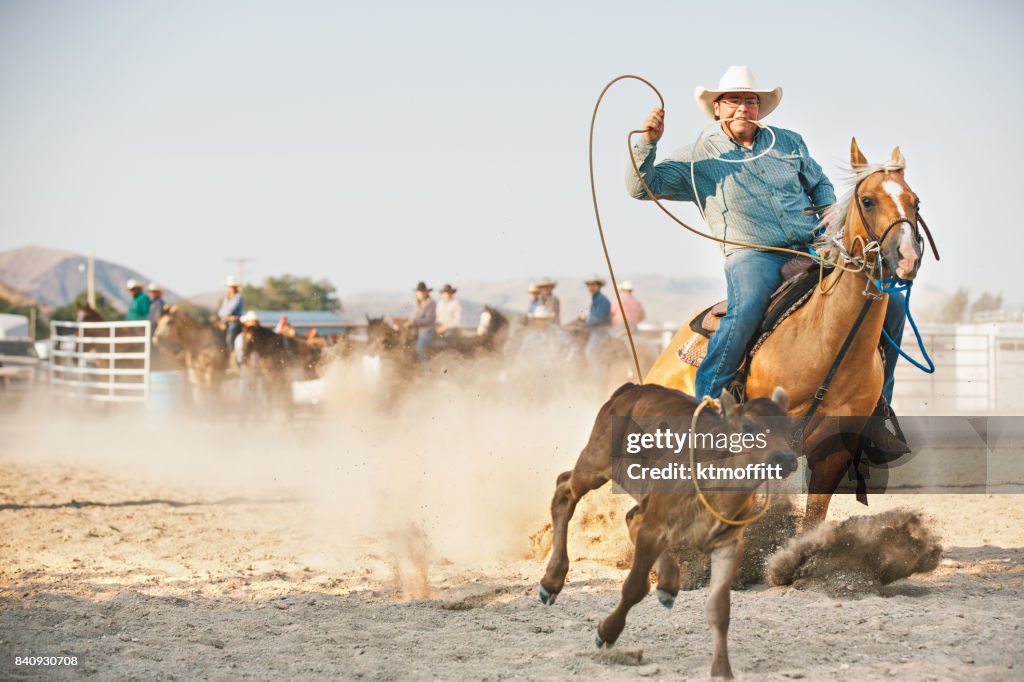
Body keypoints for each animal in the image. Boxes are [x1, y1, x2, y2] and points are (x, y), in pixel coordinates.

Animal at [651, 140, 933, 524]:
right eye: (868, 200)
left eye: (915, 201)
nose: (907, 257)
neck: (826, 347)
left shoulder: (832, 453)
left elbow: (811, 520)